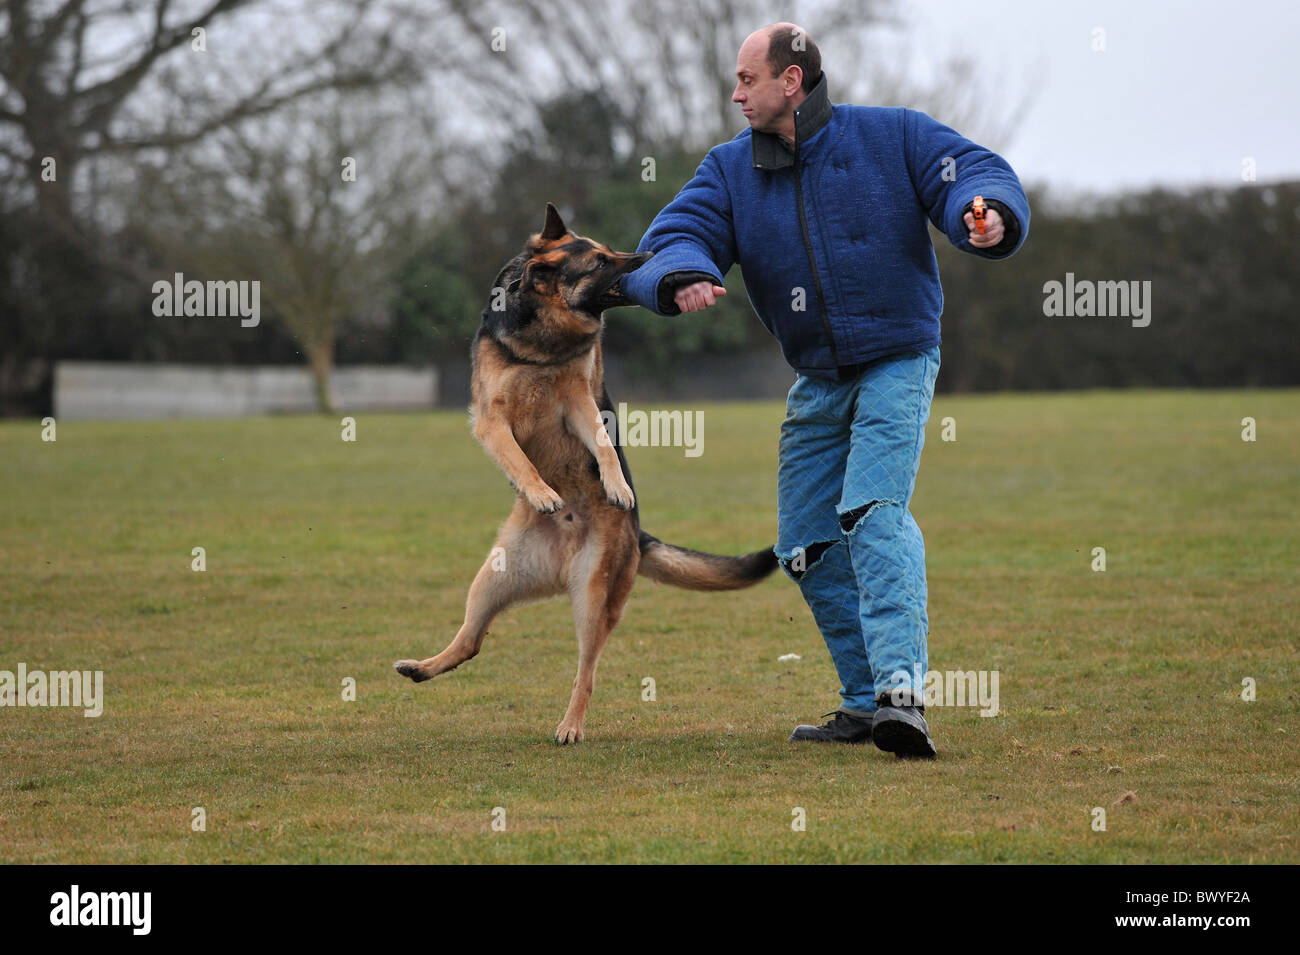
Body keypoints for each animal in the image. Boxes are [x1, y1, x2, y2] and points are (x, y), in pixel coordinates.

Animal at [390, 205, 774, 743]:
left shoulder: (578, 404)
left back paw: (570, 725)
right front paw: (541, 491)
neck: (545, 337)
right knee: (471, 641)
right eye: (600, 261)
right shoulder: (491, 420)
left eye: (613, 251)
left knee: (585, 672)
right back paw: (422, 668)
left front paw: (616, 485)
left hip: (593, 599)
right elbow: (518, 456)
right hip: (492, 579)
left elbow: (606, 447)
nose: (649, 256)